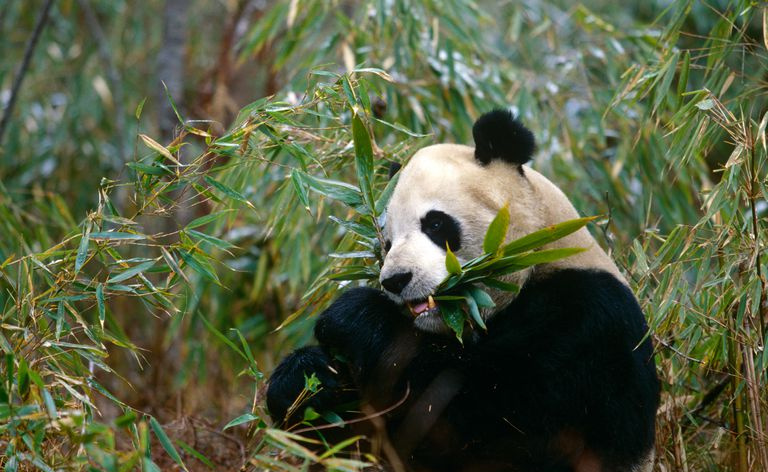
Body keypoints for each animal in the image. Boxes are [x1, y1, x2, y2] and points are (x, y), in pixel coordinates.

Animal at [267, 109, 660, 472]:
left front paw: (353, 317)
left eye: (435, 224)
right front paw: (306, 379)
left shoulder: (586, 323)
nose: (395, 280)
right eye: (387, 244)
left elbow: (483, 411)